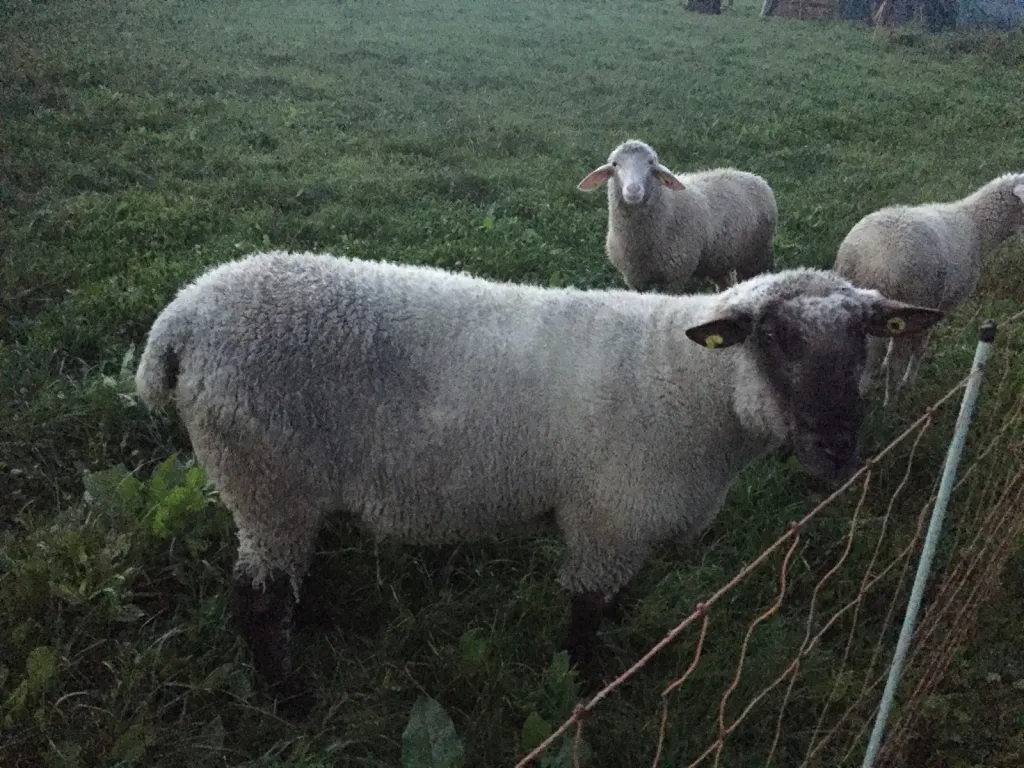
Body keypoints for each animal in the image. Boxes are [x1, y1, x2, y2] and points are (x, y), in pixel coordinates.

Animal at [134, 250, 941, 707]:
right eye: (775, 337)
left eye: (865, 336)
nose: (838, 447)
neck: (691, 386)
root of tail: (180, 318)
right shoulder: (607, 522)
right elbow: (585, 614)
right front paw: (588, 689)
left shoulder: (625, 529)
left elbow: (615, 603)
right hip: (264, 477)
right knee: (255, 597)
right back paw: (289, 697)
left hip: (281, 489)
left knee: (282, 578)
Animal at [577, 139, 778, 293]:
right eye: (615, 164)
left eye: (651, 163)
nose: (633, 190)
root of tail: (752, 176)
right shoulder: (634, 279)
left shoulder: (675, 276)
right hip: (720, 259)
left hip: (758, 254)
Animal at [834, 172, 1024, 407]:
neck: (977, 228)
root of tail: (877, 264)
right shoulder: (938, 306)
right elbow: (919, 346)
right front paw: (909, 380)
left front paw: (883, 368)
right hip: (914, 294)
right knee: (896, 358)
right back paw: (891, 401)